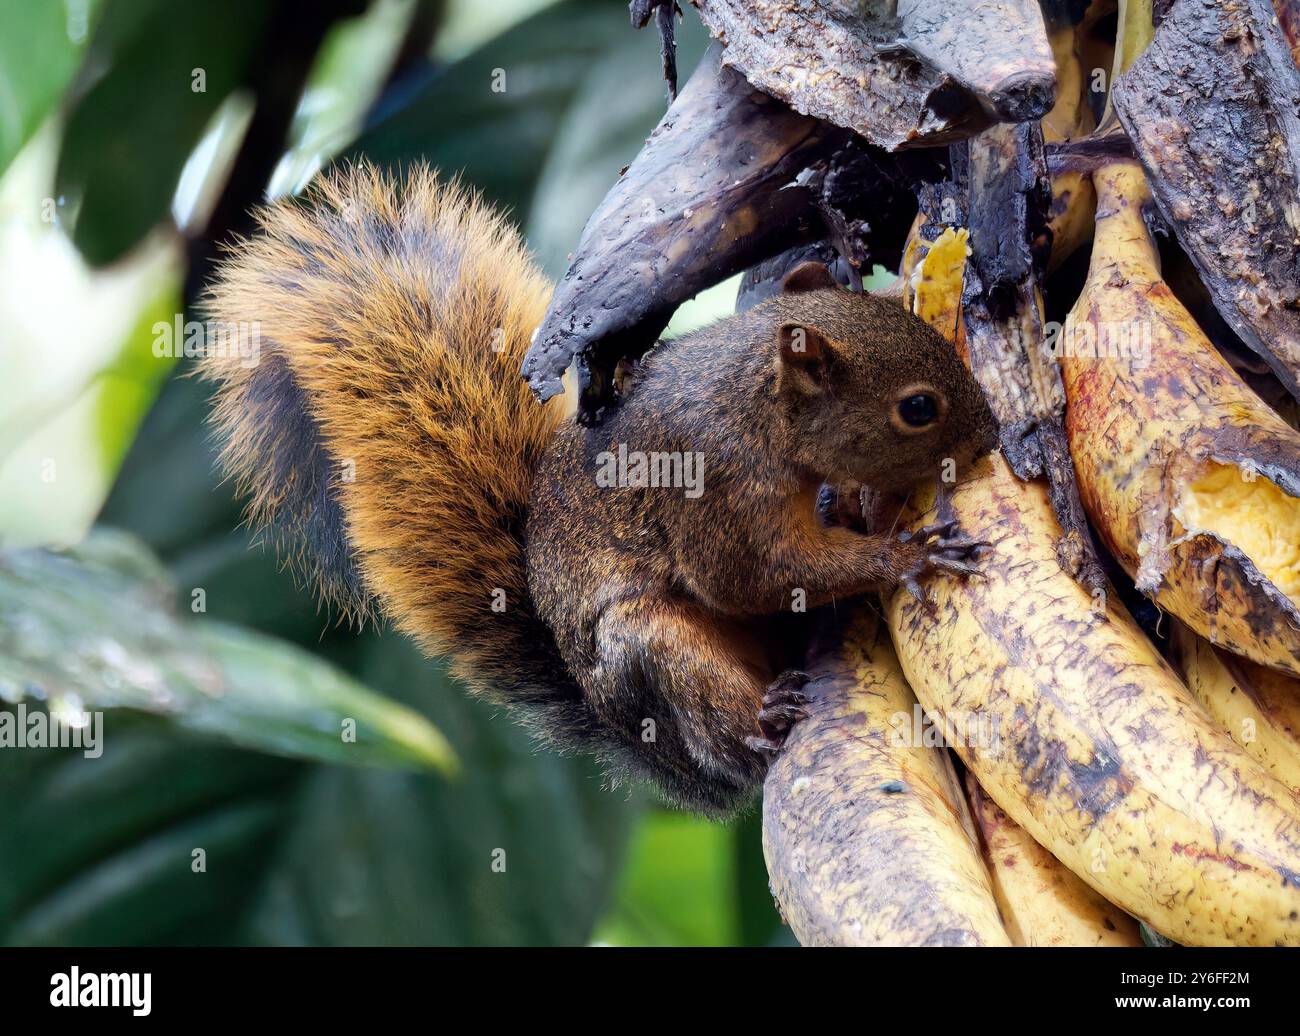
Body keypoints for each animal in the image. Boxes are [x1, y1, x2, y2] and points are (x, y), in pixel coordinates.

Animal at [201, 164, 997, 814]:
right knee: (719, 729)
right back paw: (760, 724)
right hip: (651, 653)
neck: (757, 398)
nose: (990, 435)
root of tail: (656, 760)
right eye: (917, 408)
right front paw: (907, 554)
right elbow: (749, 574)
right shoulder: (716, 483)